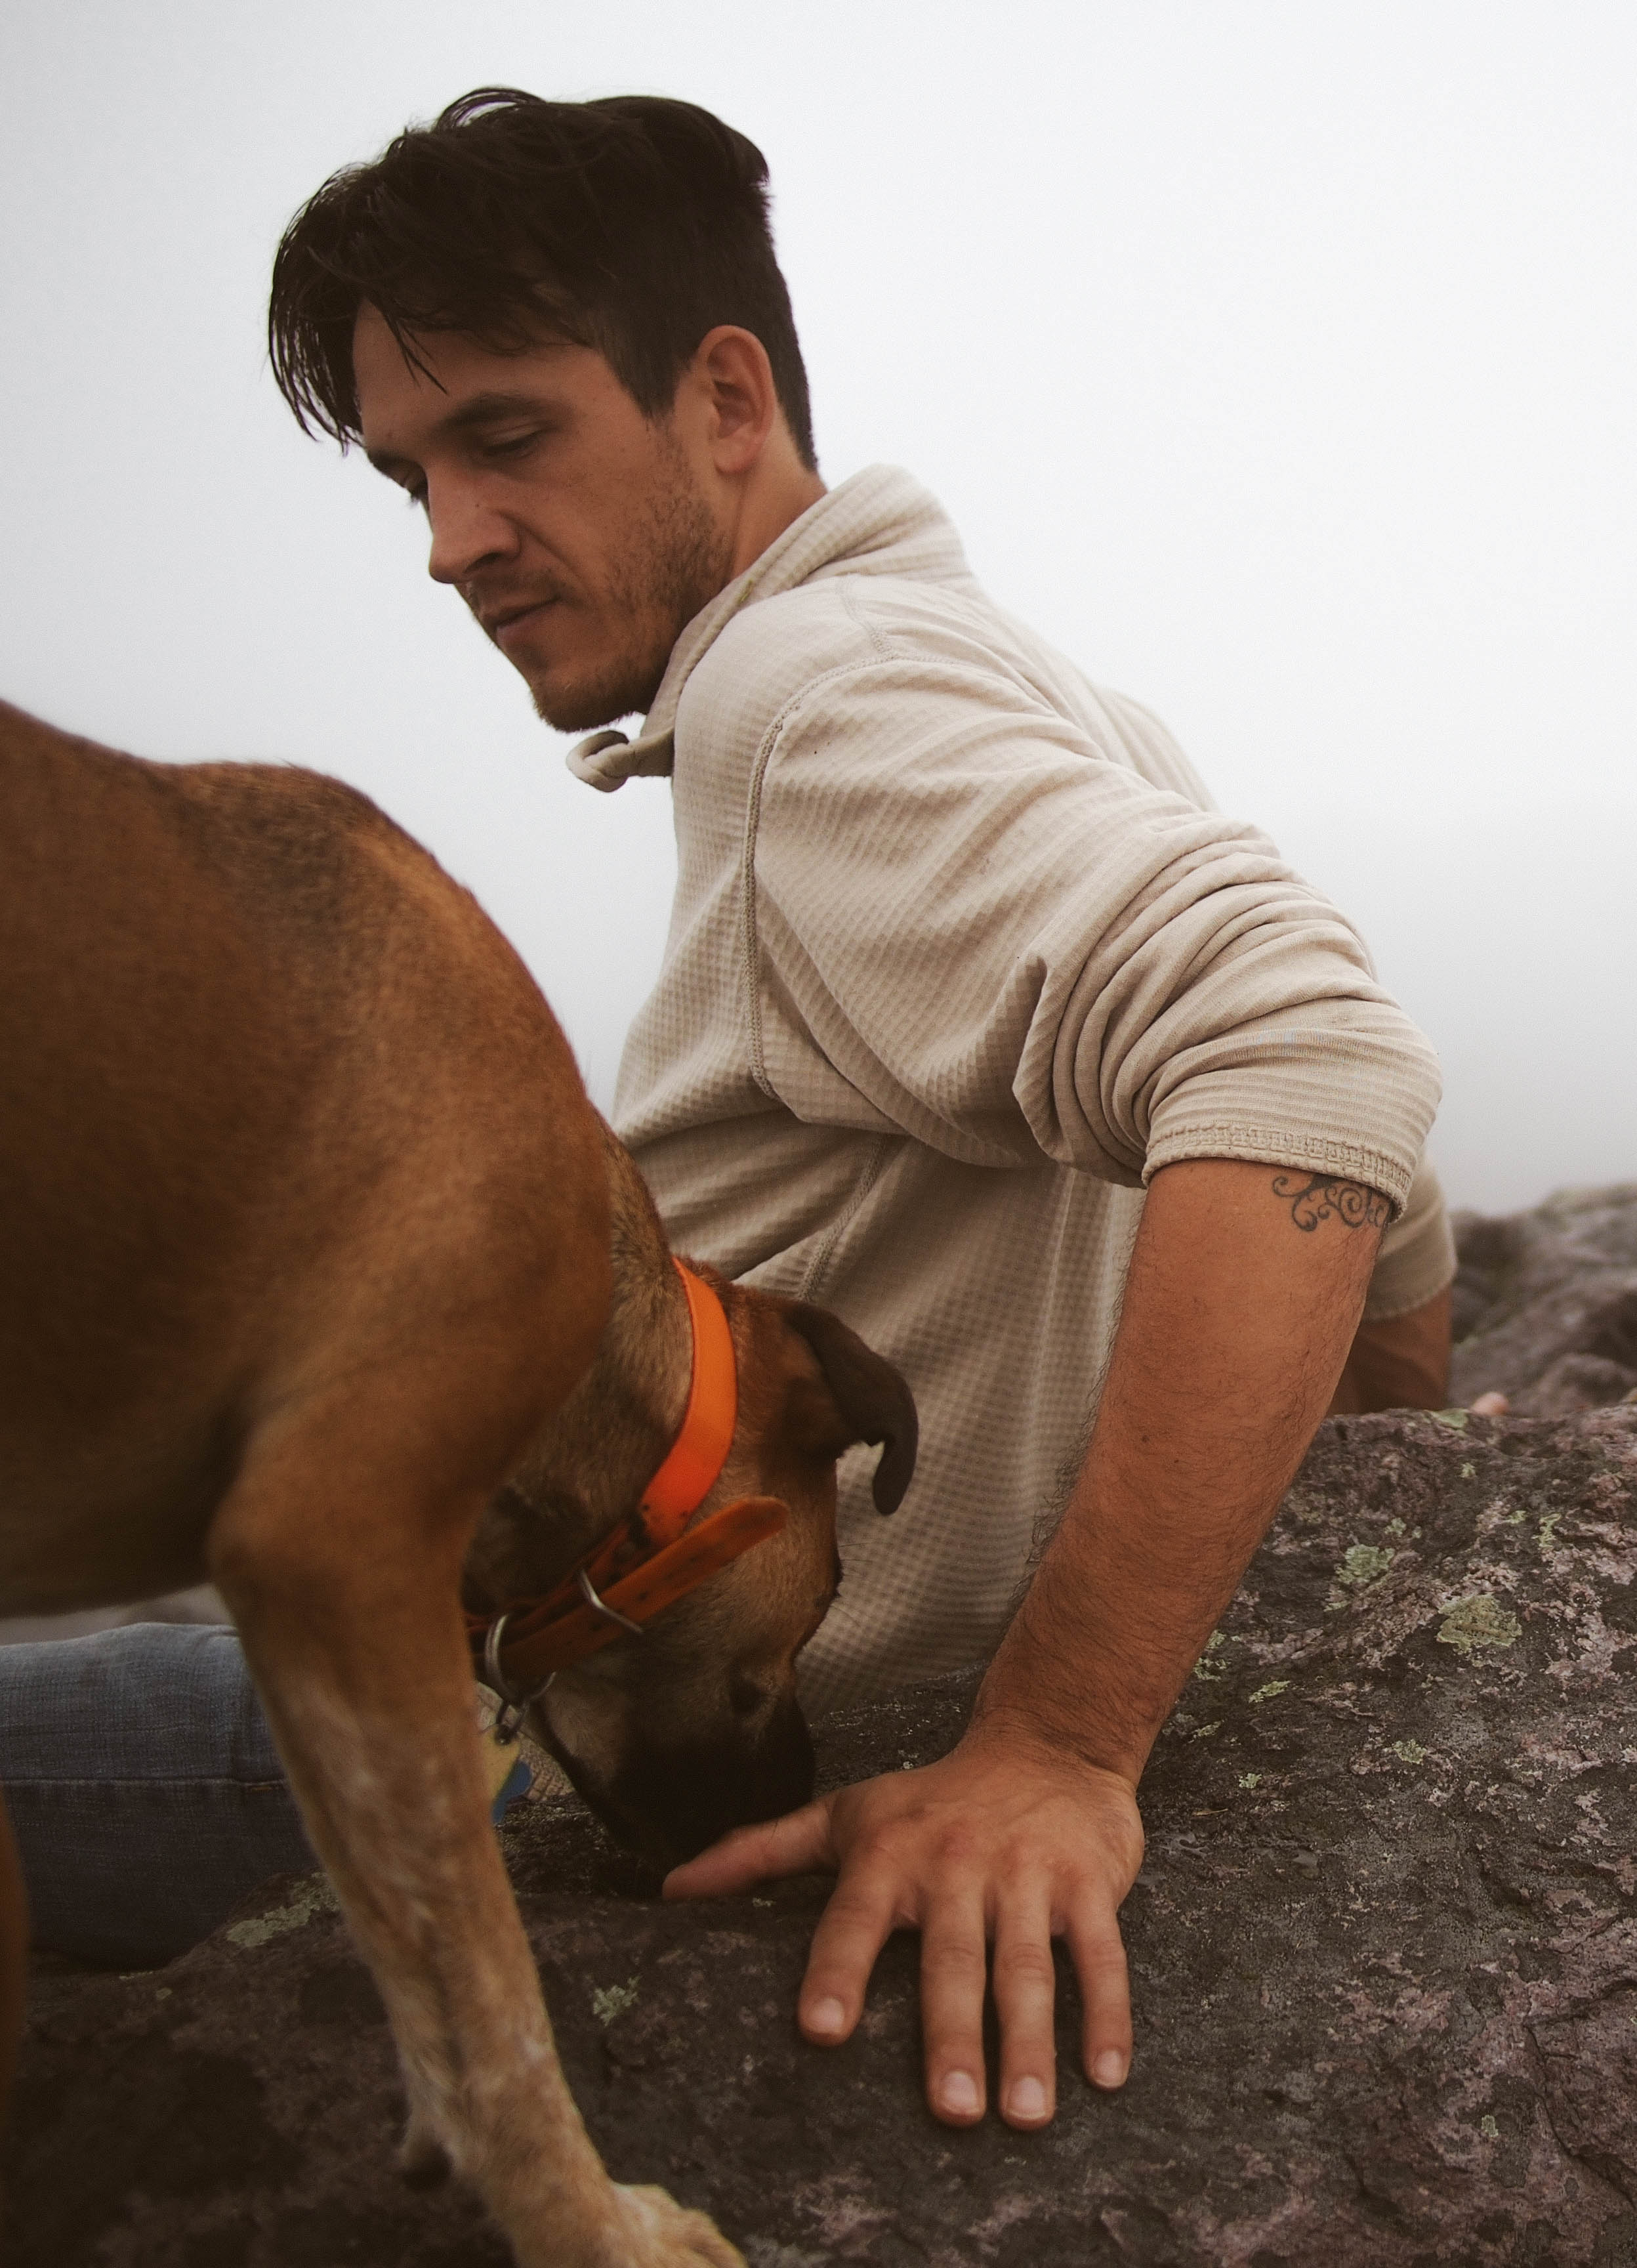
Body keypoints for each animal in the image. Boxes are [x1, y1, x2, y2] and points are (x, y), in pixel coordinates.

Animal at [0, 698, 916, 2259]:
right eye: (828, 1591)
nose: (803, 1811)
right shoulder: (335, 1538)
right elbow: (490, 1992)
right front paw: (589, 2222)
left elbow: (409, 1944)